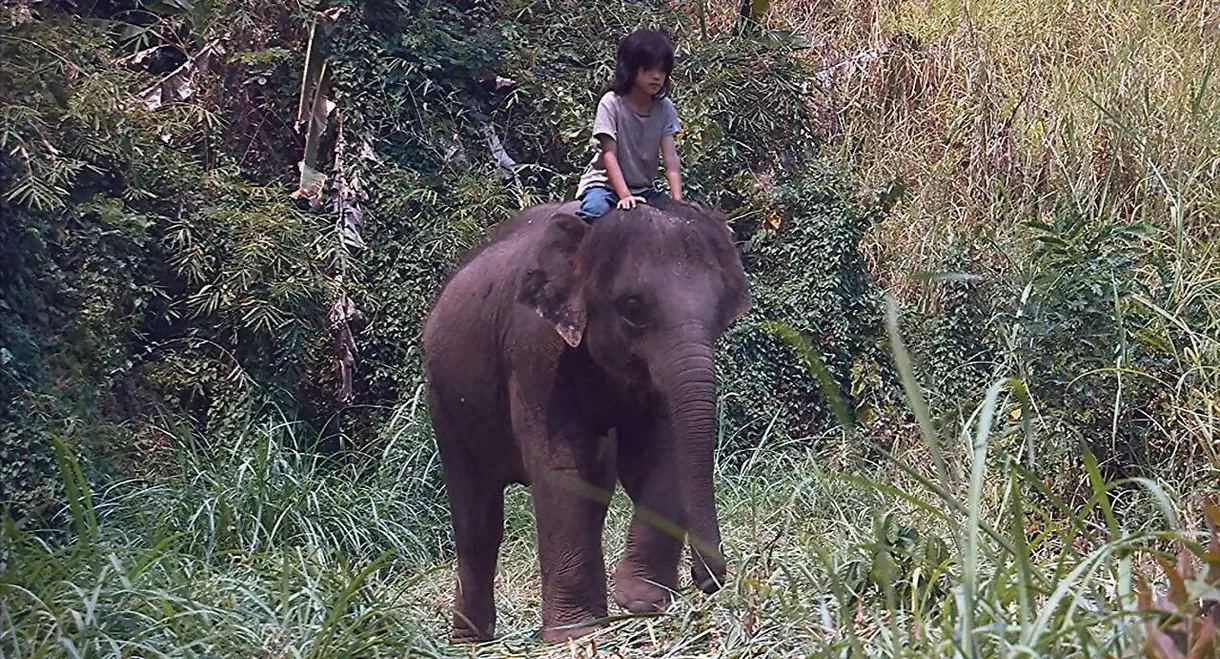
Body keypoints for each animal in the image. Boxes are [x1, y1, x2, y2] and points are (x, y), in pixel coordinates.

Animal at [421, 196, 751, 643]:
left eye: (721, 312)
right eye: (632, 307)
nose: (705, 579)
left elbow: (660, 454)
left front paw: (641, 602)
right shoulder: (534, 347)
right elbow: (561, 468)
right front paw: (576, 634)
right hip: (445, 401)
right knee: (477, 519)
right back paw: (471, 642)